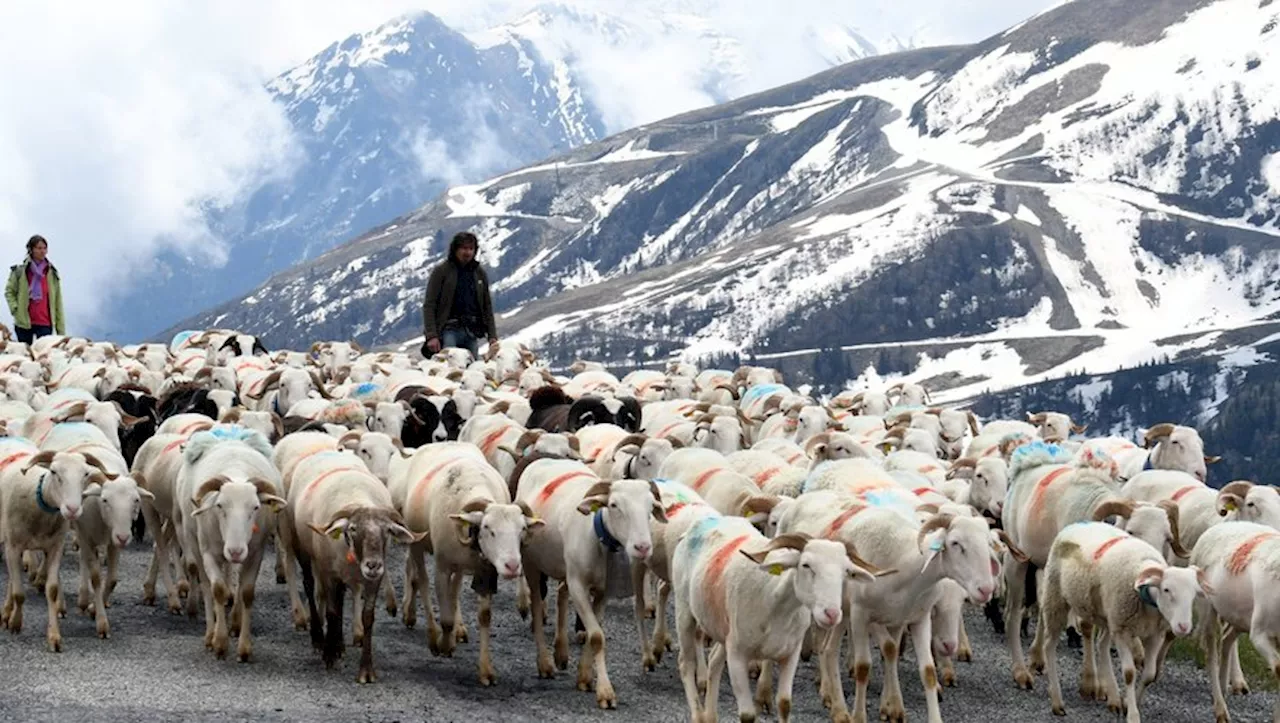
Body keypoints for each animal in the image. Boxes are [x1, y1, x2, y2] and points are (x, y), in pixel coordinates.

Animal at [514, 460, 665, 706]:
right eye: (614, 505)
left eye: (651, 507)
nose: (642, 547)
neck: (599, 538)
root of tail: (549, 459)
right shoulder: (579, 586)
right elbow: (596, 636)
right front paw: (605, 691)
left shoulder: (603, 591)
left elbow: (595, 632)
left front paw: (585, 677)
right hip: (531, 564)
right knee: (537, 605)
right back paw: (545, 663)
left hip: (566, 568)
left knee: (562, 593)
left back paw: (561, 652)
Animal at [675, 516, 885, 716]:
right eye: (806, 565)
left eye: (846, 572)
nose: (832, 614)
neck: (775, 605)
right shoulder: (737, 656)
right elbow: (747, 714)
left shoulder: (790, 654)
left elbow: (784, 704)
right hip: (684, 613)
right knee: (686, 664)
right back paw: (698, 715)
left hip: (723, 630)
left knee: (714, 661)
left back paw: (710, 716)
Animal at [1039, 522, 1208, 716]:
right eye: (1166, 589)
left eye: (1194, 594)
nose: (1183, 626)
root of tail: (1079, 523)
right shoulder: (1121, 630)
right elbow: (1129, 673)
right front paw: (1133, 714)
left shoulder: (1154, 634)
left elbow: (1149, 674)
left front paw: (1129, 702)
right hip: (1056, 599)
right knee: (1049, 645)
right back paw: (1057, 701)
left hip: (1107, 615)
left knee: (1101, 644)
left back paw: (1113, 698)